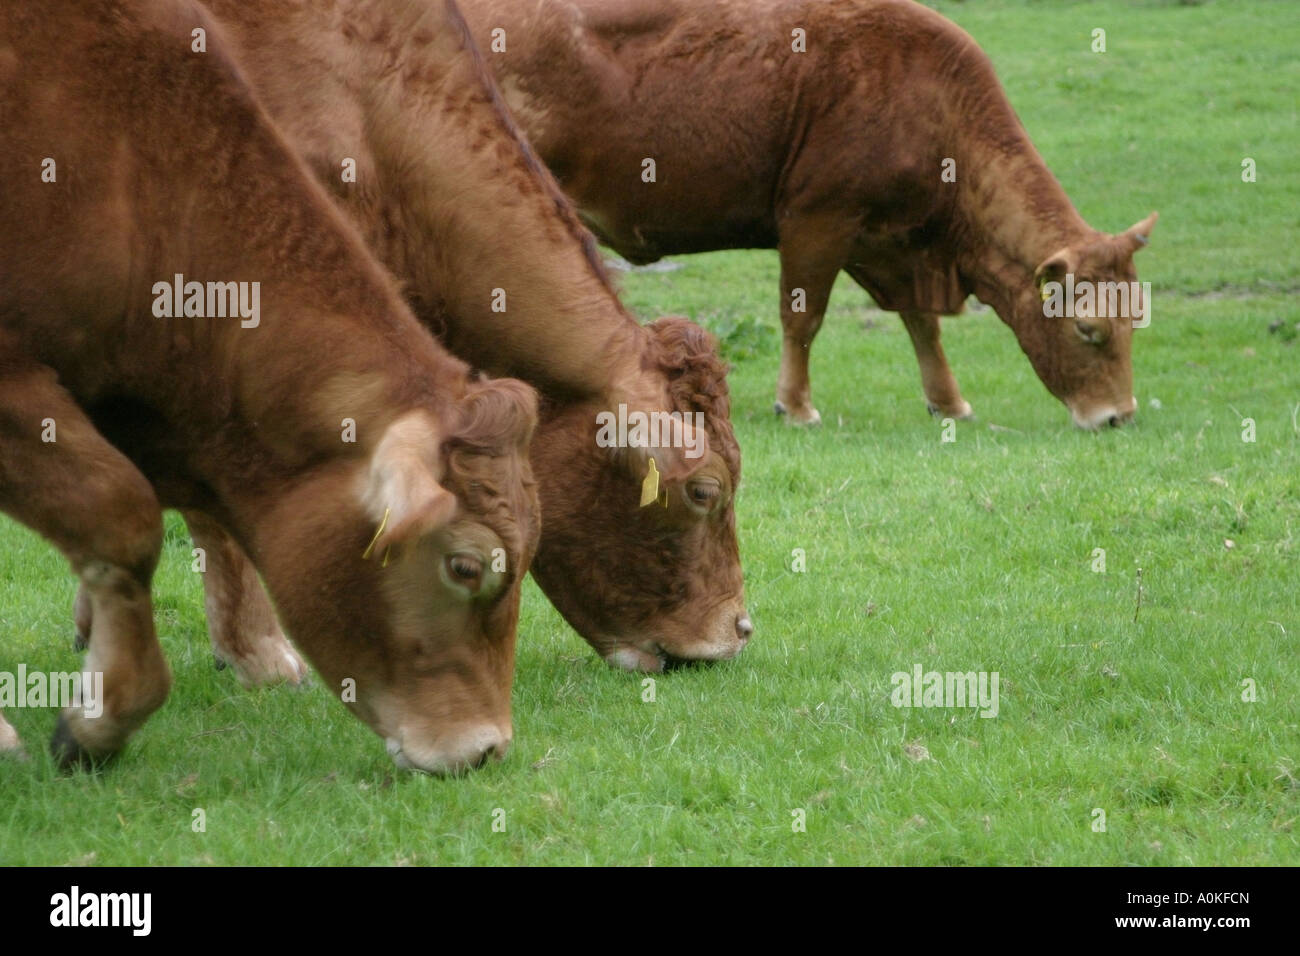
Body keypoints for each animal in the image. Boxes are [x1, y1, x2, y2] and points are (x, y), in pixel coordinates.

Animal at [459, 0, 1158, 430]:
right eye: (1088, 329)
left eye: (1134, 321)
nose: (1117, 415)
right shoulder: (817, 220)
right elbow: (803, 318)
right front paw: (795, 406)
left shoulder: (891, 242)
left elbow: (921, 324)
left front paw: (949, 402)